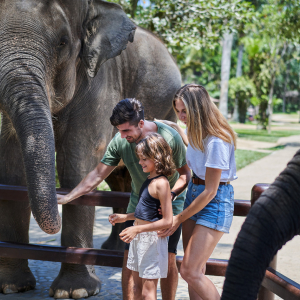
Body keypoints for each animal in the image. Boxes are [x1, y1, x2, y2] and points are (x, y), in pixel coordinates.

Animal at [0, 1, 180, 298]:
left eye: (62, 42)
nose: (58, 199)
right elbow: (12, 164)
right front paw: (13, 286)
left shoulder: (99, 82)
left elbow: (78, 161)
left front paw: (75, 291)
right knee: (120, 180)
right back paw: (116, 248)